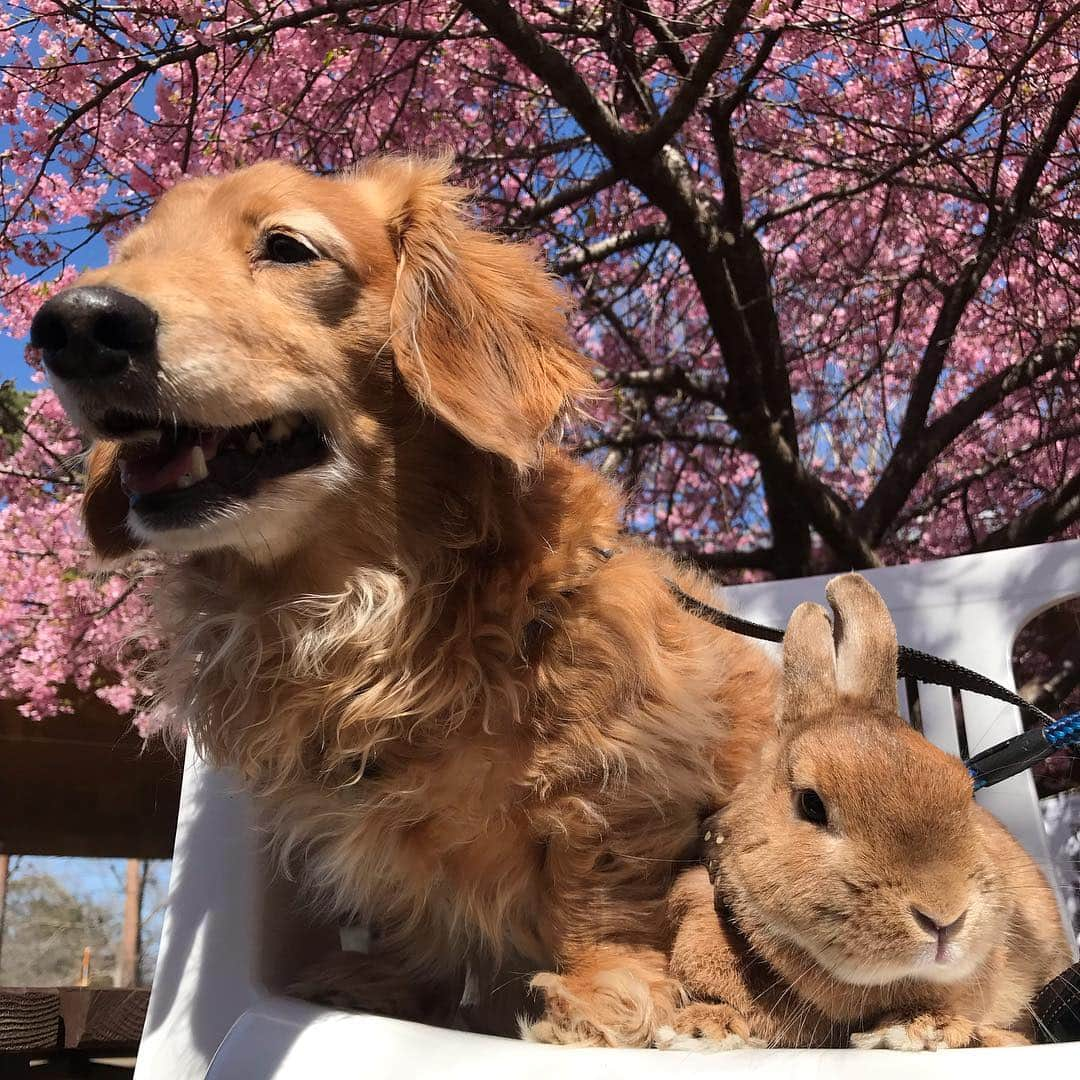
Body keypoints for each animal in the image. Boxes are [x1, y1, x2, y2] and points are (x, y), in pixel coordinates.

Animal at [33, 159, 777, 1045]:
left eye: (287, 247)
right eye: (131, 256)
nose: (73, 325)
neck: (363, 609)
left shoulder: (626, 769)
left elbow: (600, 890)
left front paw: (606, 994)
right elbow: (408, 896)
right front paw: (393, 981)